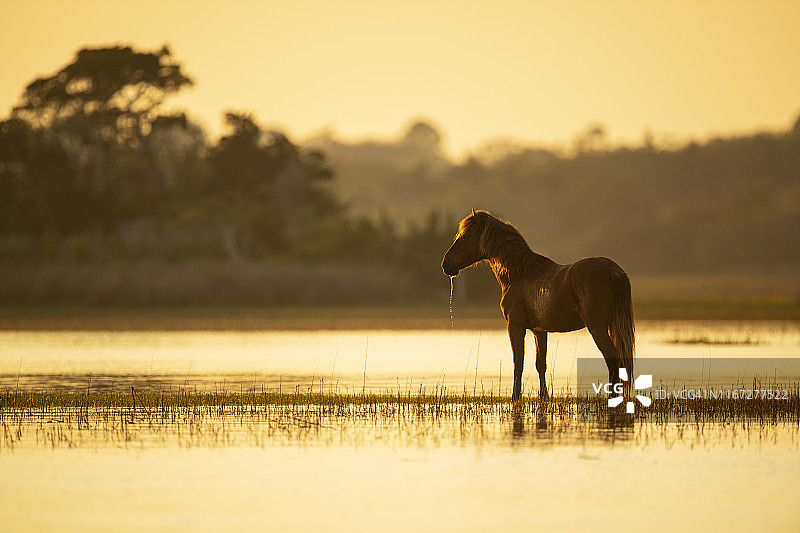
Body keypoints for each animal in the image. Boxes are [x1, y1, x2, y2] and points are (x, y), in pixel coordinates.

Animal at [441, 210, 634, 401]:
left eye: (466, 236)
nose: (446, 264)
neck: (520, 274)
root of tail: (614, 271)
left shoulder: (515, 327)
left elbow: (518, 363)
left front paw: (515, 396)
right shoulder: (539, 331)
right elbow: (540, 364)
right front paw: (544, 396)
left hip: (597, 327)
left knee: (612, 357)